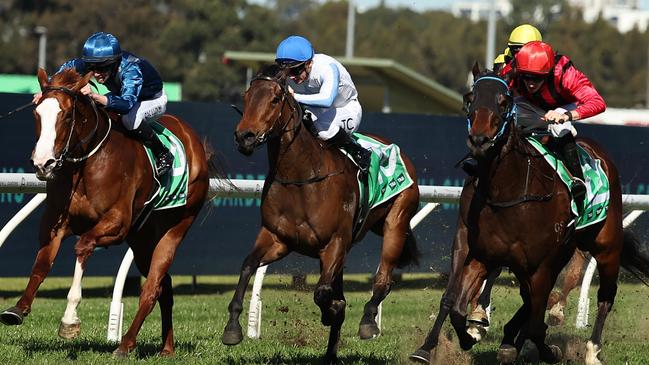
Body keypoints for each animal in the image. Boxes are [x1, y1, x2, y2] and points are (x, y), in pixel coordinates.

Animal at [0, 67, 213, 356]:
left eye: (67, 115)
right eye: (37, 113)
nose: (43, 163)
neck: (86, 164)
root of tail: (195, 142)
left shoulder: (116, 224)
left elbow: (83, 246)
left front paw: (69, 319)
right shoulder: (55, 221)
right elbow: (42, 263)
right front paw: (18, 309)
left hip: (176, 226)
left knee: (152, 288)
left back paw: (125, 343)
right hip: (142, 238)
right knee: (164, 285)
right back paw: (166, 347)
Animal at [220, 64, 418, 362]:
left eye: (275, 99)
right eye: (246, 97)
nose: (245, 137)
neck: (302, 178)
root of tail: (398, 151)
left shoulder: (334, 243)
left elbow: (322, 293)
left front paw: (333, 311)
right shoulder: (278, 239)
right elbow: (247, 266)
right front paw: (232, 328)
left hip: (397, 221)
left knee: (383, 280)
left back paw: (368, 321)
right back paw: (331, 353)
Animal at [410, 64, 648, 362]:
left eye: (504, 101)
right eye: (469, 98)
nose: (479, 140)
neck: (506, 192)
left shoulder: (538, 263)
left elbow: (535, 320)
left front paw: (546, 349)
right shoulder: (478, 250)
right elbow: (455, 304)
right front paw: (456, 339)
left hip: (606, 246)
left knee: (605, 295)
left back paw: (592, 350)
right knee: (531, 301)